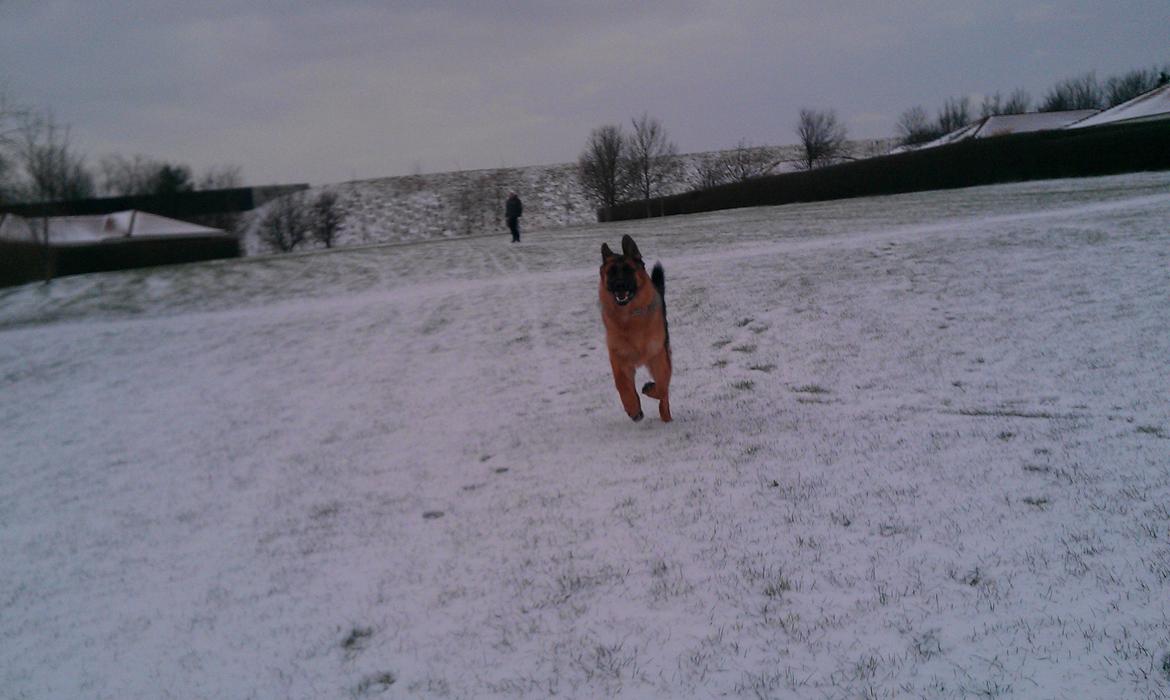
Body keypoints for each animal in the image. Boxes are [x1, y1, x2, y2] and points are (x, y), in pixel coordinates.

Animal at [599, 236, 673, 421]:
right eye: (611, 272)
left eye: (628, 270)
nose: (619, 285)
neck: (629, 317)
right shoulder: (618, 359)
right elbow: (622, 384)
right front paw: (633, 408)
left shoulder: (658, 356)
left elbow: (662, 386)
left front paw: (650, 389)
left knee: (666, 388)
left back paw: (666, 414)